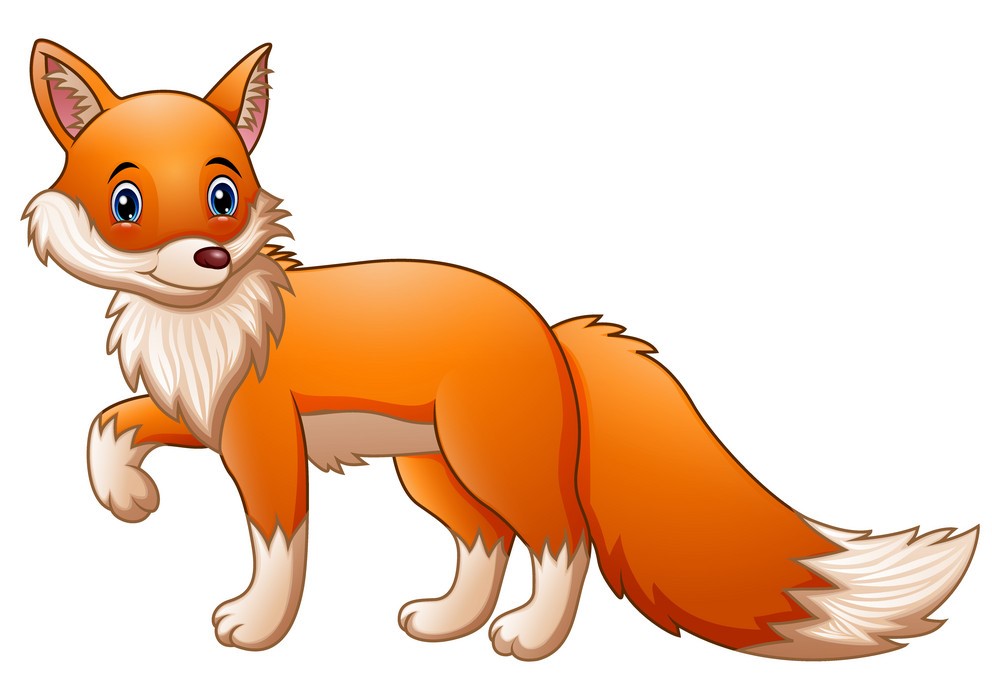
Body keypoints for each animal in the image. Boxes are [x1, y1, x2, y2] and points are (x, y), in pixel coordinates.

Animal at [24, 38, 978, 662]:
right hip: (433, 471)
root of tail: (547, 327)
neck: (207, 320)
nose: (211, 258)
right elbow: (108, 425)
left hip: (492, 460)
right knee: (487, 540)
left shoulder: (264, 445)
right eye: (127, 203)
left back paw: (527, 636)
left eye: (223, 194)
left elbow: (278, 543)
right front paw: (127, 496)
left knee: (562, 539)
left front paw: (258, 627)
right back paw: (448, 622)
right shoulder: (204, 415)